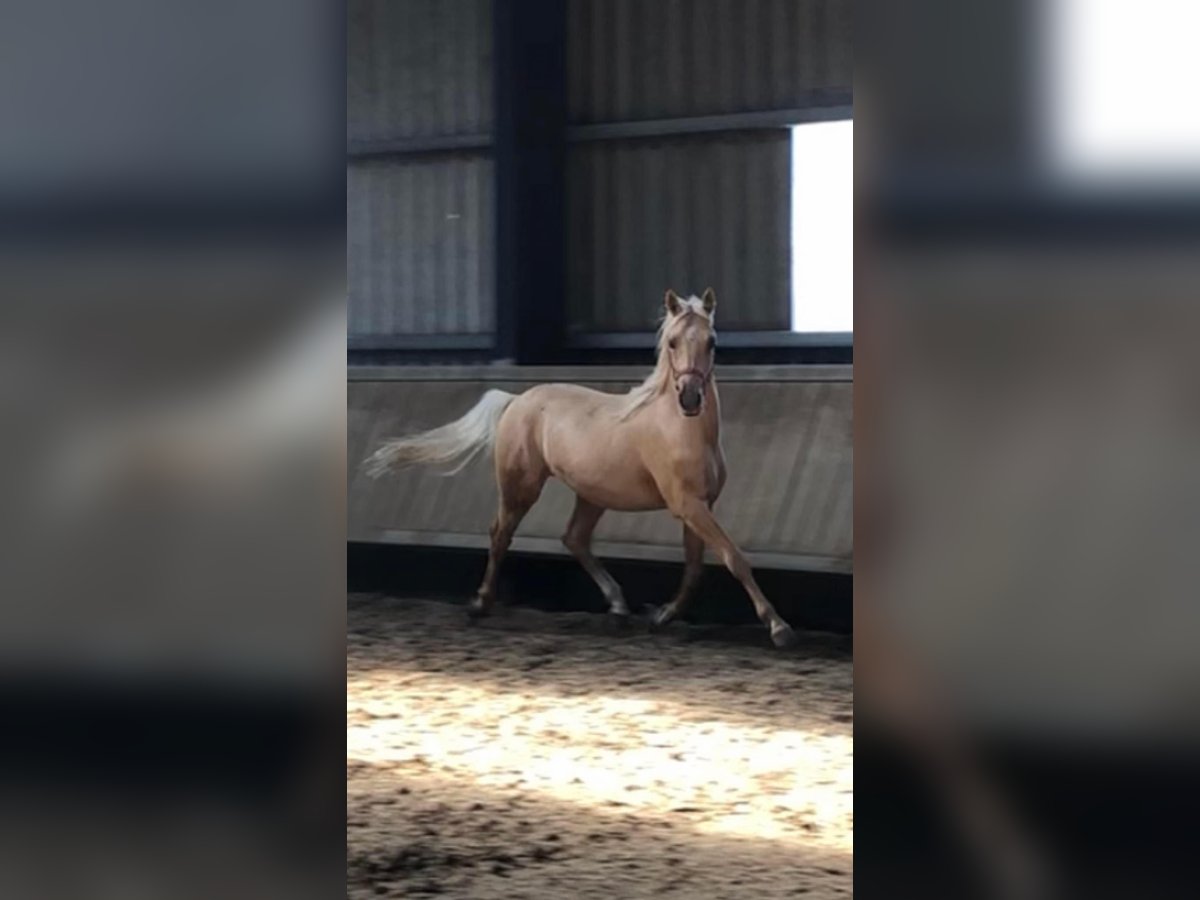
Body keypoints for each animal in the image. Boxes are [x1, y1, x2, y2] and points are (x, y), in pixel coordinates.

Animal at [362, 292, 796, 652]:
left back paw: (619, 608)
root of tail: (517, 400)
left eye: (712, 342)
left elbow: (694, 570)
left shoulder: (699, 506)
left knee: (574, 538)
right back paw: (481, 604)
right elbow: (734, 558)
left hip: (591, 496)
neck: (682, 429)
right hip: (521, 487)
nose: (690, 398)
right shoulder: (688, 505)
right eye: (673, 342)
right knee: (501, 533)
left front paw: (662, 616)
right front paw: (779, 628)